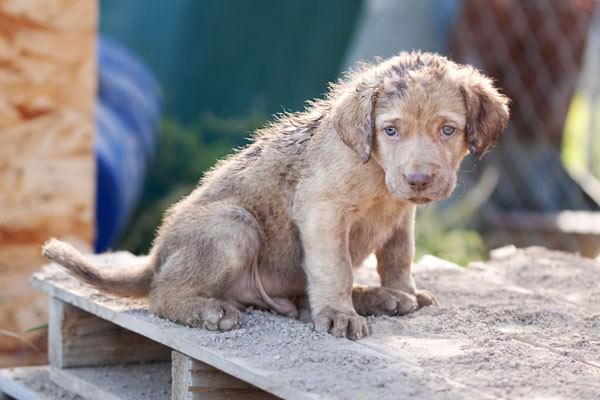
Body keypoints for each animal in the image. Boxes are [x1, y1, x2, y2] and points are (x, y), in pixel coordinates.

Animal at [44, 51, 508, 340]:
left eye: (447, 129)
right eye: (390, 130)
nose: (418, 179)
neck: (376, 174)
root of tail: (155, 256)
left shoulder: (400, 218)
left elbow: (398, 258)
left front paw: (404, 291)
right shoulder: (322, 212)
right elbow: (335, 270)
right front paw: (340, 316)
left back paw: (382, 298)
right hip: (233, 226)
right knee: (161, 296)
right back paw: (208, 311)